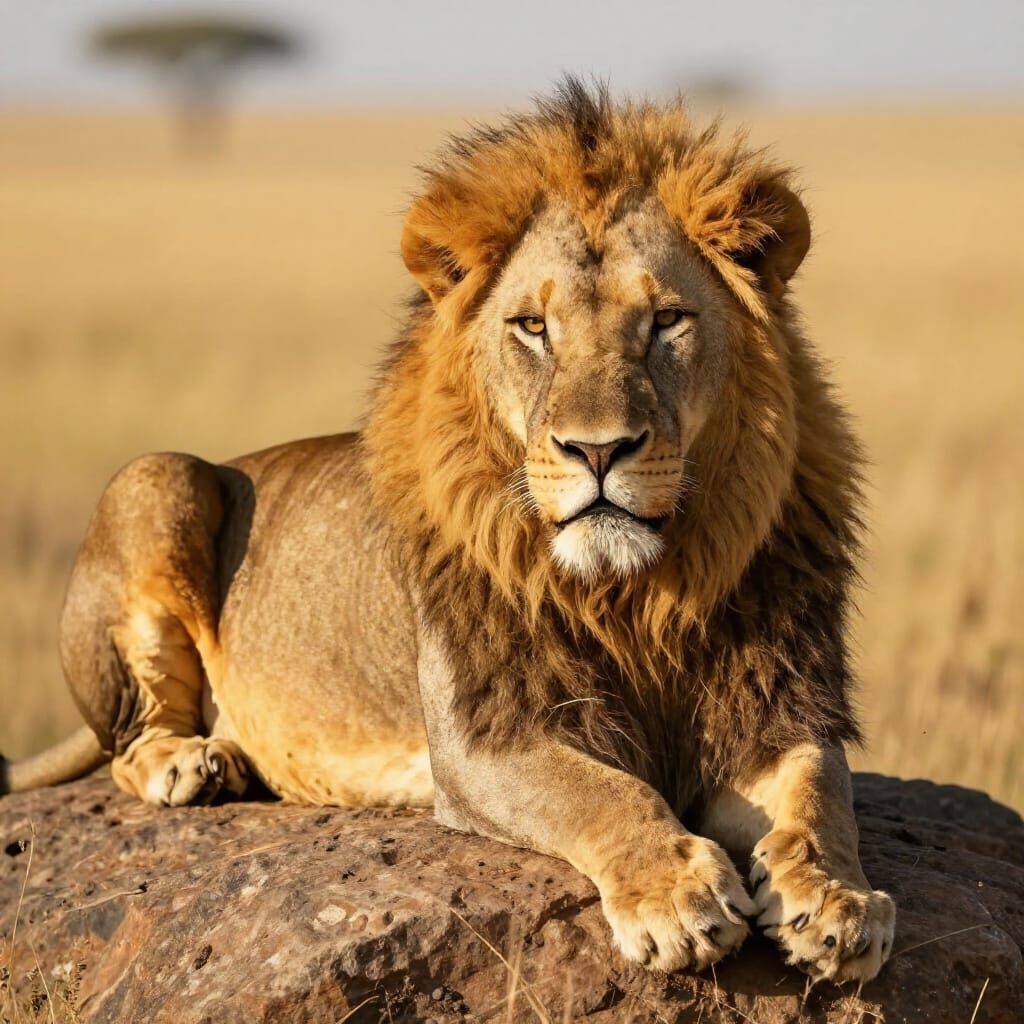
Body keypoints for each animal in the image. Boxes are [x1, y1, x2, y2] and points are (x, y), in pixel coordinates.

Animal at [2, 80, 895, 984]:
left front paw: (839, 902)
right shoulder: (481, 737)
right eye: (533, 327)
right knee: (128, 740)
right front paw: (675, 895)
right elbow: (604, 792)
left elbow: (821, 797)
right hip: (157, 476)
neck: (634, 594)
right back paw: (194, 762)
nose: (598, 450)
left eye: (667, 320)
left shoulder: (774, 703)